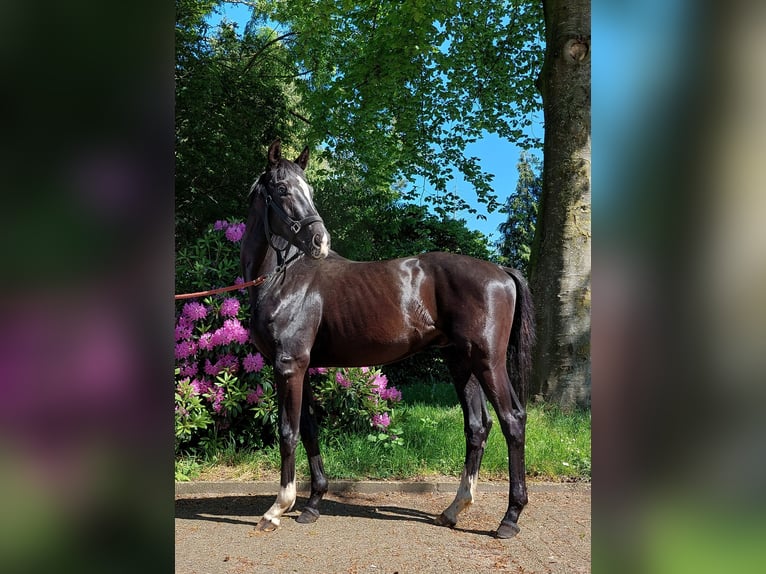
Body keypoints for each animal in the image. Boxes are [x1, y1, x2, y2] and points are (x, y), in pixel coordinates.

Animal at [243, 140, 536, 540]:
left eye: (310, 190)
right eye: (283, 189)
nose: (320, 240)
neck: (284, 279)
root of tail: (501, 272)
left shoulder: (288, 366)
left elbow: (288, 433)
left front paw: (276, 510)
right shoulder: (299, 368)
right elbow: (309, 430)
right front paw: (312, 504)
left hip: (488, 361)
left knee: (512, 421)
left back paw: (510, 518)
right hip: (461, 362)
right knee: (478, 426)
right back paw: (453, 510)